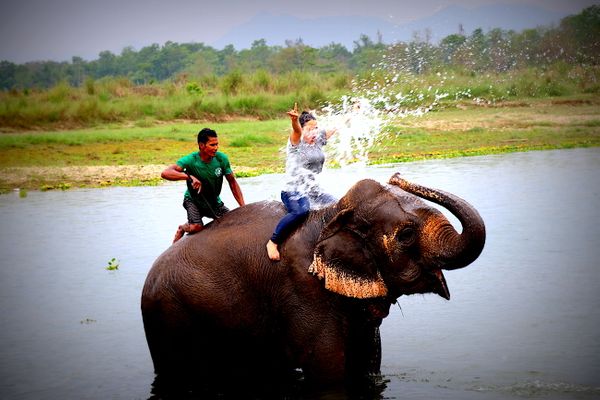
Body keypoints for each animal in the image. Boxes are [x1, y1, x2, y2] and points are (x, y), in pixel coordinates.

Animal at [143, 173, 486, 394]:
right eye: (406, 235)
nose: (397, 175)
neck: (329, 216)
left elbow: (368, 360)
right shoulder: (302, 288)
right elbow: (326, 369)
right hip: (168, 316)